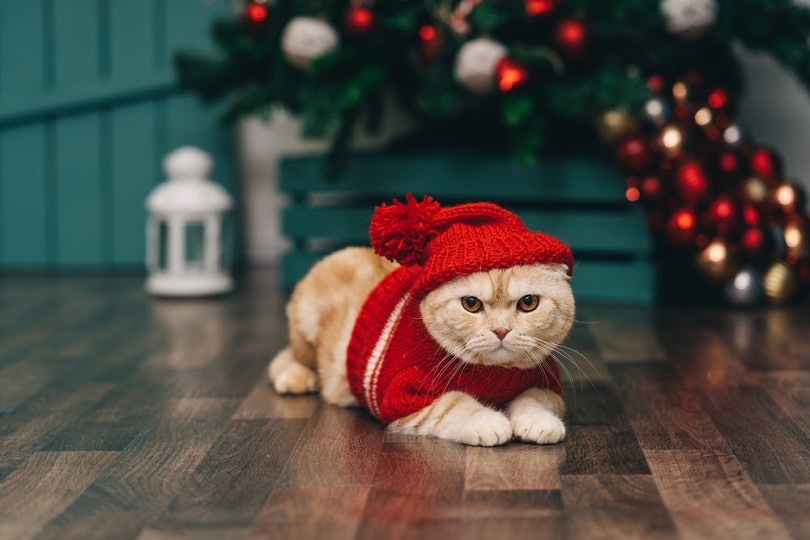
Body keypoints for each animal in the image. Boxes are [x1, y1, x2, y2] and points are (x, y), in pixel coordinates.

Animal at [268, 196, 572, 446]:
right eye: (471, 304)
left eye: (528, 302)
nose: (501, 330)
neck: (493, 374)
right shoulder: (406, 398)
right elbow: (455, 405)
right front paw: (488, 420)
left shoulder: (547, 384)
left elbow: (535, 399)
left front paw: (539, 420)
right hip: (305, 332)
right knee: (284, 358)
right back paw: (296, 376)